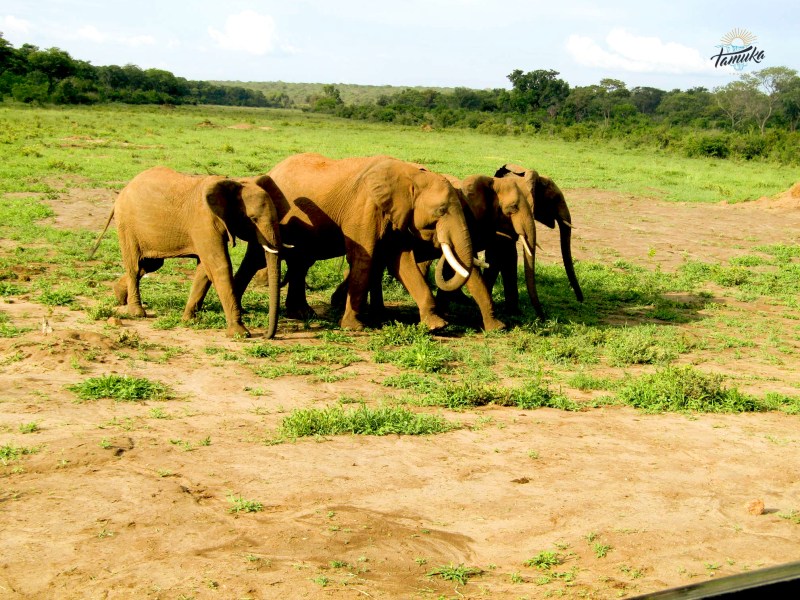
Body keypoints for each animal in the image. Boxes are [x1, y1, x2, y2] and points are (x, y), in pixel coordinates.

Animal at [89, 166, 282, 338]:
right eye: (252, 219)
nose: (266, 336)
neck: (233, 183)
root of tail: (123, 191)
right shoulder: (204, 222)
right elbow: (219, 266)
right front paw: (240, 334)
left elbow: (204, 270)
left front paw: (189, 320)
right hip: (127, 225)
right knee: (135, 267)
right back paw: (137, 312)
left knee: (150, 264)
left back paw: (119, 295)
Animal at [242, 153, 477, 331]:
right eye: (441, 210)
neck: (411, 175)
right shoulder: (364, 207)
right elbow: (364, 258)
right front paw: (354, 327)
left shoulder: (396, 214)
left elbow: (402, 262)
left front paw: (437, 326)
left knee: (301, 262)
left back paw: (302, 314)